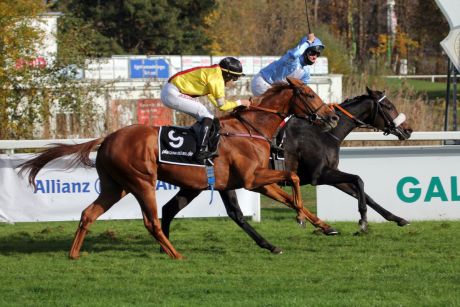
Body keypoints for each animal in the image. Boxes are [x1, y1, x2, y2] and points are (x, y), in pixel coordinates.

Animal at [17, 77, 338, 260]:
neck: (251, 129)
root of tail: (107, 138)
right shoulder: (251, 178)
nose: (332, 117)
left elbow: (286, 197)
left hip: (114, 186)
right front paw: (300, 219)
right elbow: (293, 177)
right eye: (310, 94)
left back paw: (73, 254)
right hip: (141, 182)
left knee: (88, 214)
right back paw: (175, 253)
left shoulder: (248, 182)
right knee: (151, 221)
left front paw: (324, 226)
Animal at [161, 87, 414, 255]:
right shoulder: (320, 176)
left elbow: (363, 192)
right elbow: (359, 180)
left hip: (200, 183)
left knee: (171, 208)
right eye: (388, 106)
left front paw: (397, 218)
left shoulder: (330, 173)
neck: (324, 133)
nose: (408, 129)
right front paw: (362, 222)